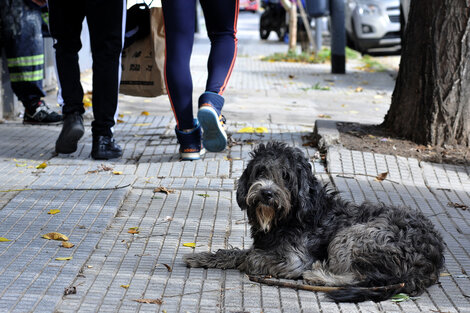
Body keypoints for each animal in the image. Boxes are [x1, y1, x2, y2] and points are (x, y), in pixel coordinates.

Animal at [184, 142, 444, 302]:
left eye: (286, 176)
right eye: (260, 171)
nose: (266, 193)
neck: (291, 216)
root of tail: (430, 263)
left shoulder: (294, 260)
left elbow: (252, 257)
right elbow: (237, 252)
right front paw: (205, 257)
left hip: (354, 235)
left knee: (358, 277)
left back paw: (319, 275)